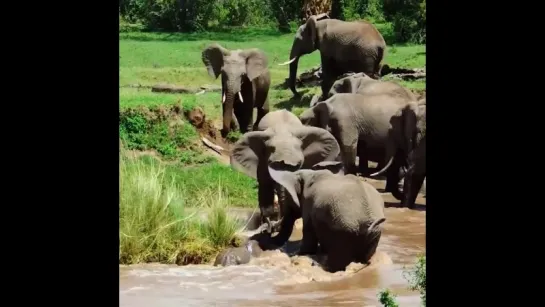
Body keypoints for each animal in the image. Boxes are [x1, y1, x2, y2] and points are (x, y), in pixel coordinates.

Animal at [230, 109, 340, 249]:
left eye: (298, 165)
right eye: (272, 165)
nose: (270, 228)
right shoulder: (262, 162)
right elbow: (265, 188)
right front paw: (268, 227)